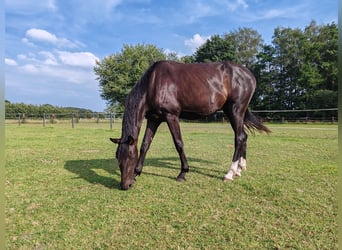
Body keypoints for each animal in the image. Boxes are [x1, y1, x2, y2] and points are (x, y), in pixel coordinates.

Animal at [109, 60, 270, 189]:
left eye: (130, 157)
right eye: (117, 156)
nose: (125, 185)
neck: (154, 83)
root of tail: (249, 75)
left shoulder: (171, 116)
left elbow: (178, 143)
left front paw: (183, 173)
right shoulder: (154, 119)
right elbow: (145, 145)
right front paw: (136, 173)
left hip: (235, 110)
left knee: (239, 138)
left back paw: (229, 173)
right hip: (233, 112)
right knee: (243, 136)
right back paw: (239, 169)